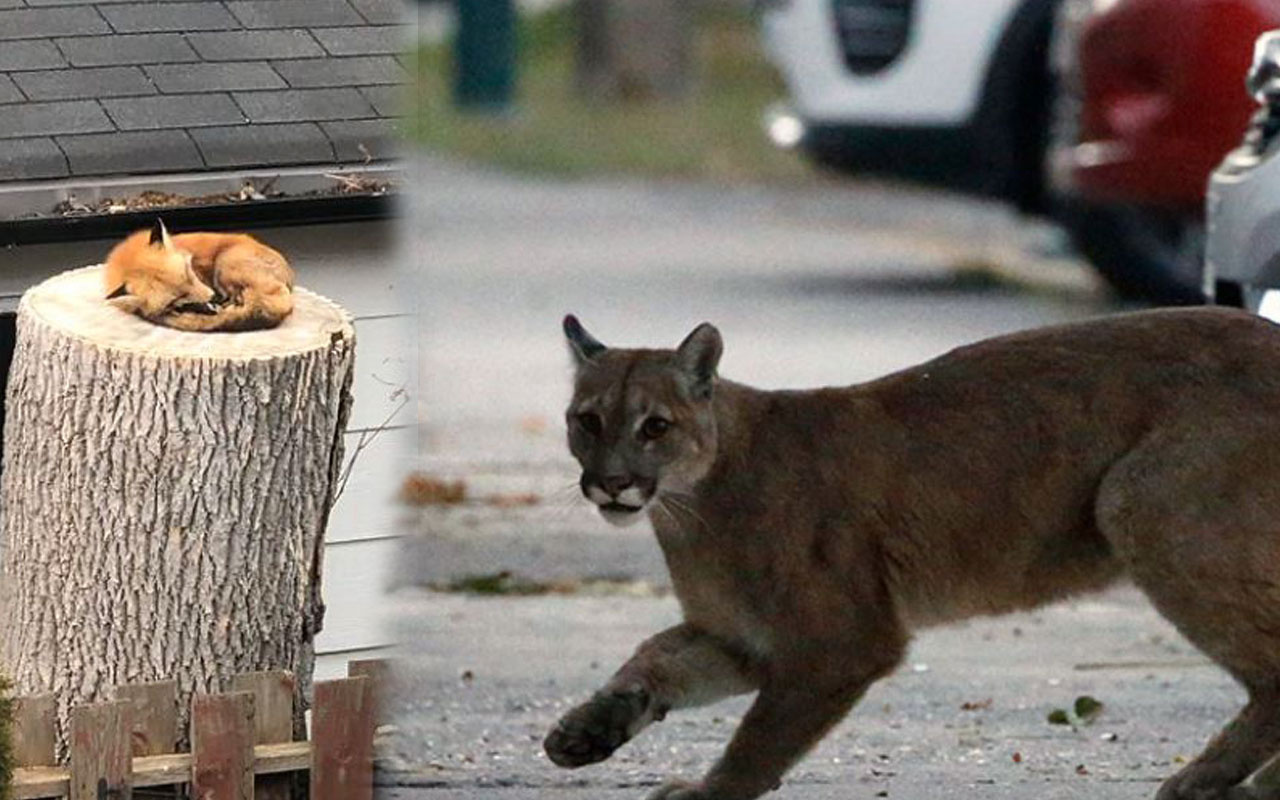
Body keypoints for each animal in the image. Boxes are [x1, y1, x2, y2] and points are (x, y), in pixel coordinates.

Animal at [547, 307, 1280, 798]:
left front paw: (710, 791)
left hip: (1138, 503)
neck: (688, 504)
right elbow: (655, 658)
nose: (611, 482)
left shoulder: (840, 643)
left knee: (1273, 675)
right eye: (587, 420)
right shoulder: (744, 637)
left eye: (655, 427)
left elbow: (759, 737)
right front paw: (587, 730)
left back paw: (1208, 781)